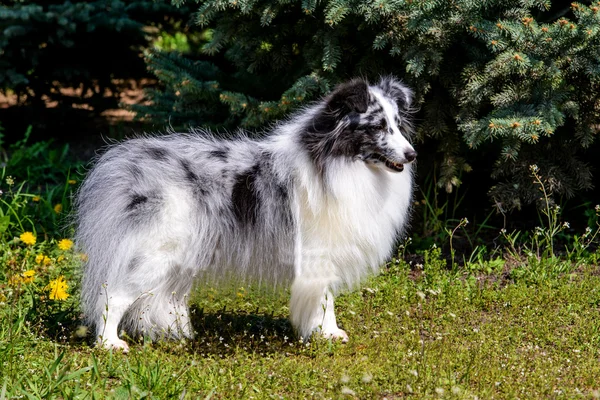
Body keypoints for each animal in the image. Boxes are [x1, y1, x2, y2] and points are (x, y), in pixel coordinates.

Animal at [75, 76, 418, 352]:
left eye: (397, 124)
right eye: (377, 127)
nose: (412, 154)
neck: (338, 161)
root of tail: (130, 167)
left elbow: (325, 297)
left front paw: (325, 332)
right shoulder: (318, 252)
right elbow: (324, 299)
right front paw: (325, 333)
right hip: (154, 252)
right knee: (113, 295)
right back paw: (109, 343)